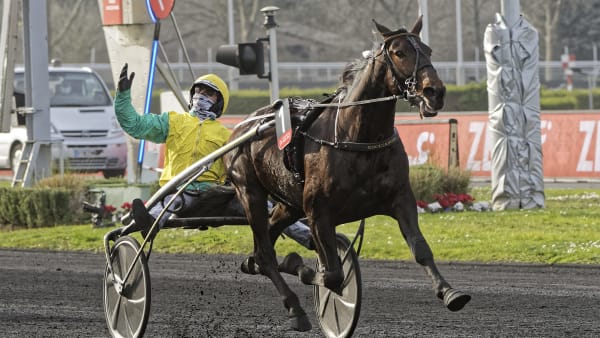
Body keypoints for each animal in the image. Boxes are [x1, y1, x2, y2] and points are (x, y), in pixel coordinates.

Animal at [223, 15, 472, 330]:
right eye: (399, 52)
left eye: (428, 50)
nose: (434, 92)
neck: (357, 137)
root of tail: (242, 126)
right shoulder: (318, 212)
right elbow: (332, 275)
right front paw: (304, 270)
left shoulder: (400, 198)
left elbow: (420, 248)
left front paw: (449, 292)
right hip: (250, 191)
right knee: (265, 253)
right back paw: (295, 308)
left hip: (289, 204)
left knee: (262, 245)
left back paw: (258, 264)